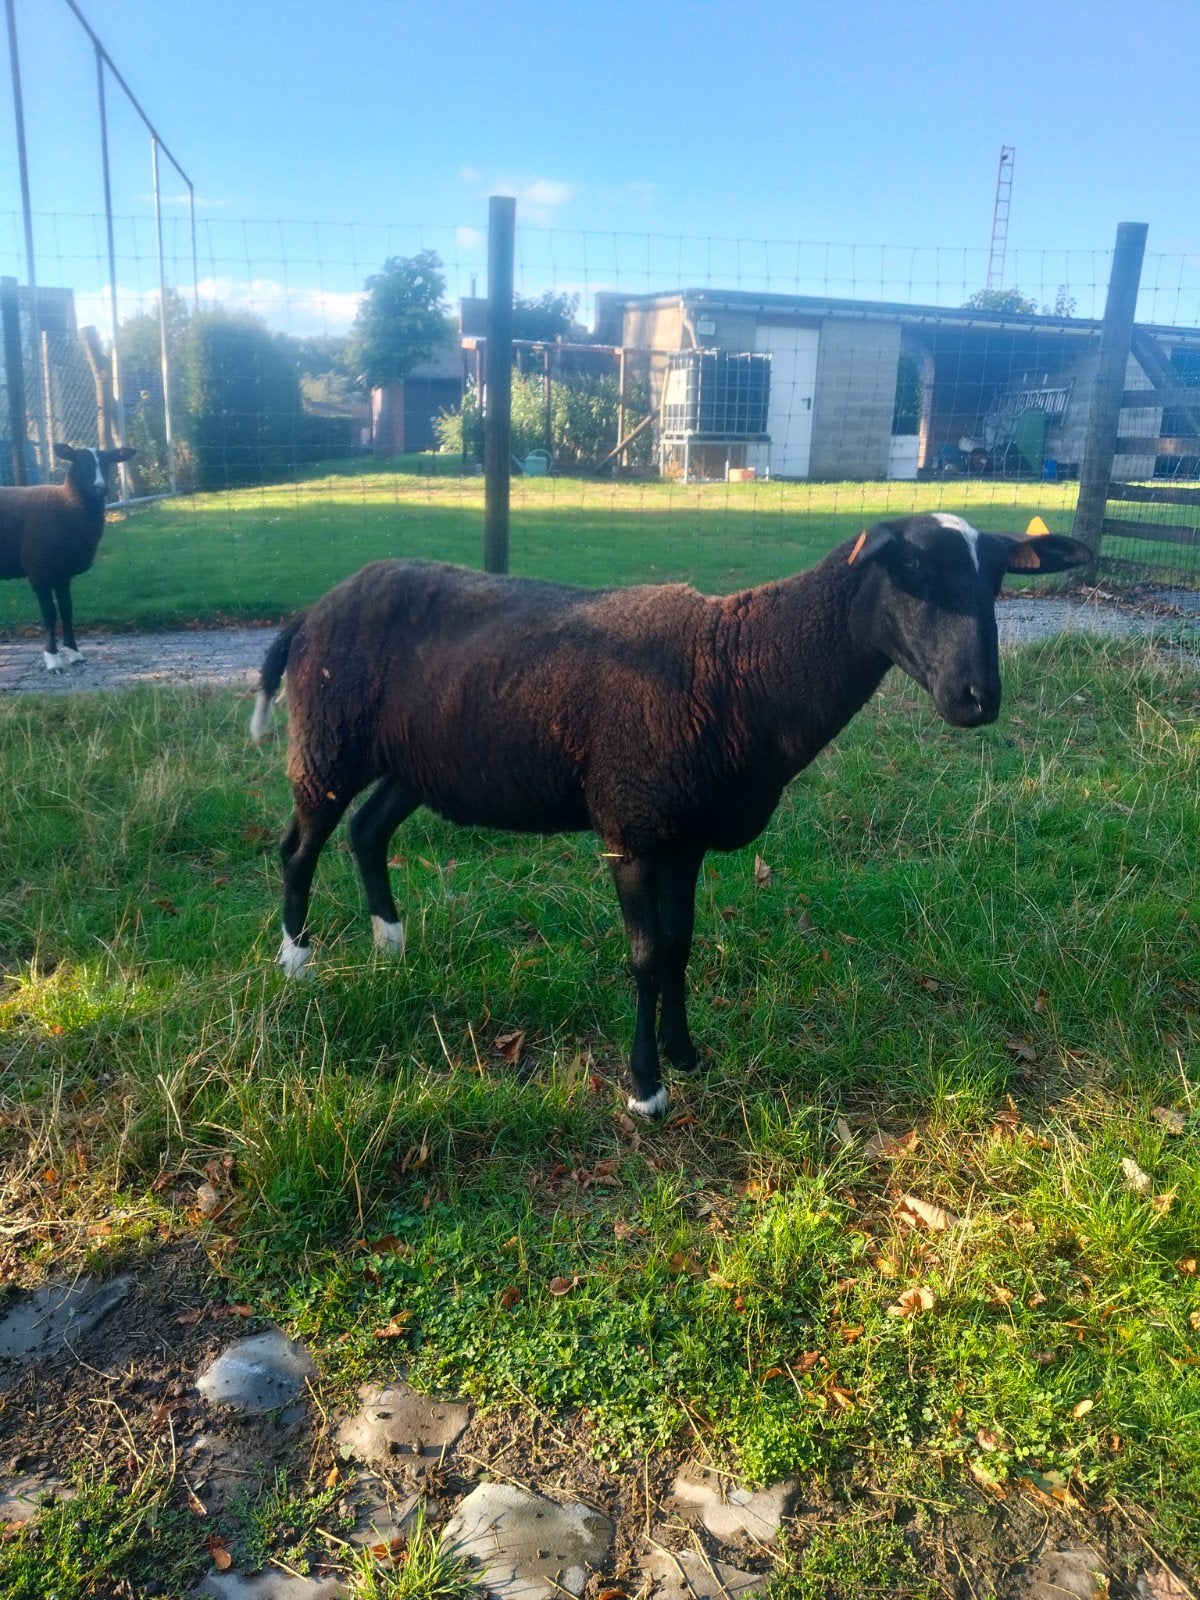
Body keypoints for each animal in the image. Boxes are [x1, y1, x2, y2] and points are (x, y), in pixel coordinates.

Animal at [0, 442, 136, 670]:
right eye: (80, 463)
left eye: (108, 462)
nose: (101, 488)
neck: (66, 505)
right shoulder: (39, 571)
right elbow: (49, 614)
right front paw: (53, 659)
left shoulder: (62, 574)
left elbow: (66, 610)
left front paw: (74, 653)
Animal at [250, 512, 1088, 1118]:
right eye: (910, 572)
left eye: (998, 578)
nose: (978, 699)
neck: (742, 665)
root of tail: (313, 610)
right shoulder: (633, 827)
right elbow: (650, 956)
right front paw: (646, 1087)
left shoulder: (686, 836)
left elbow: (684, 945)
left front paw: (687, 1055)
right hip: (327, 741)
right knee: (299, 847)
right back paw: (297, 962)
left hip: (420, 759)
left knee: (367, 832)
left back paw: (390, 945)